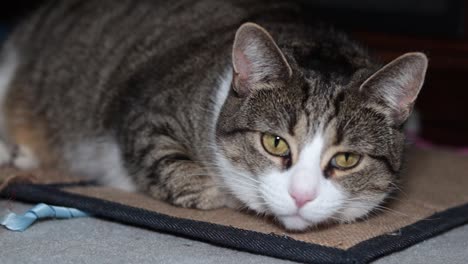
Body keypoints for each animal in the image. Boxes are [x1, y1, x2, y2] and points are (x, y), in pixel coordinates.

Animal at [0, 0, 426, 230]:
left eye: (347, 159)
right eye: (274, 143)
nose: (301, 196)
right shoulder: (144, 114)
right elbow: (179, 171)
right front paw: (220, 193)